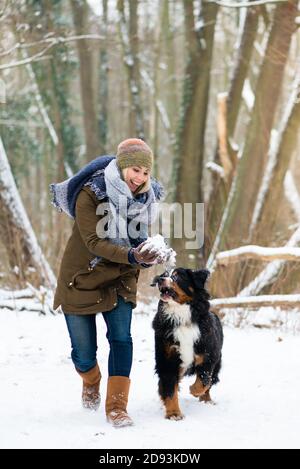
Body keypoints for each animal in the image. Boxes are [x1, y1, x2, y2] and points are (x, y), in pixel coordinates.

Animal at [150, 266, 223, 420]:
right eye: (164, 274)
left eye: (177, 276)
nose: (160, 279)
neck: (180, 315)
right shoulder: (167, 358)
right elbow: (170, 387)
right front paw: (173, 413)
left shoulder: (208, 355)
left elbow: (204, 379)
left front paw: (194, 390)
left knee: (210, 381)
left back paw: (206, 400)